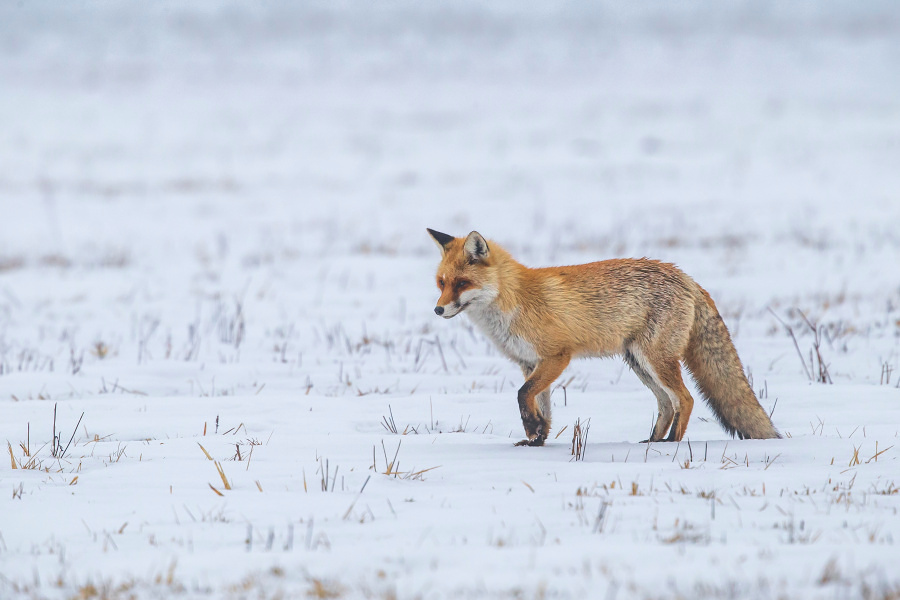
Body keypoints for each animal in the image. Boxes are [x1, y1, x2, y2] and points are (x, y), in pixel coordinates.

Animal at [426, 229, 776, 446]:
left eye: (461, 283)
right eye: (441, 282)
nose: (438, 309)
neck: (514, 300)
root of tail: (684, 275)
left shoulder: (557, 356)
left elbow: (523, 395)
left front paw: (532, 430)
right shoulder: (529, 362)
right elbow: (541, 405)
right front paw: (536, 439)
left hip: (655, 359)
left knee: (685, 399)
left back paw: (671, 445)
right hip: (638, 361)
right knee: (666, 403)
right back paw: (654, 441)